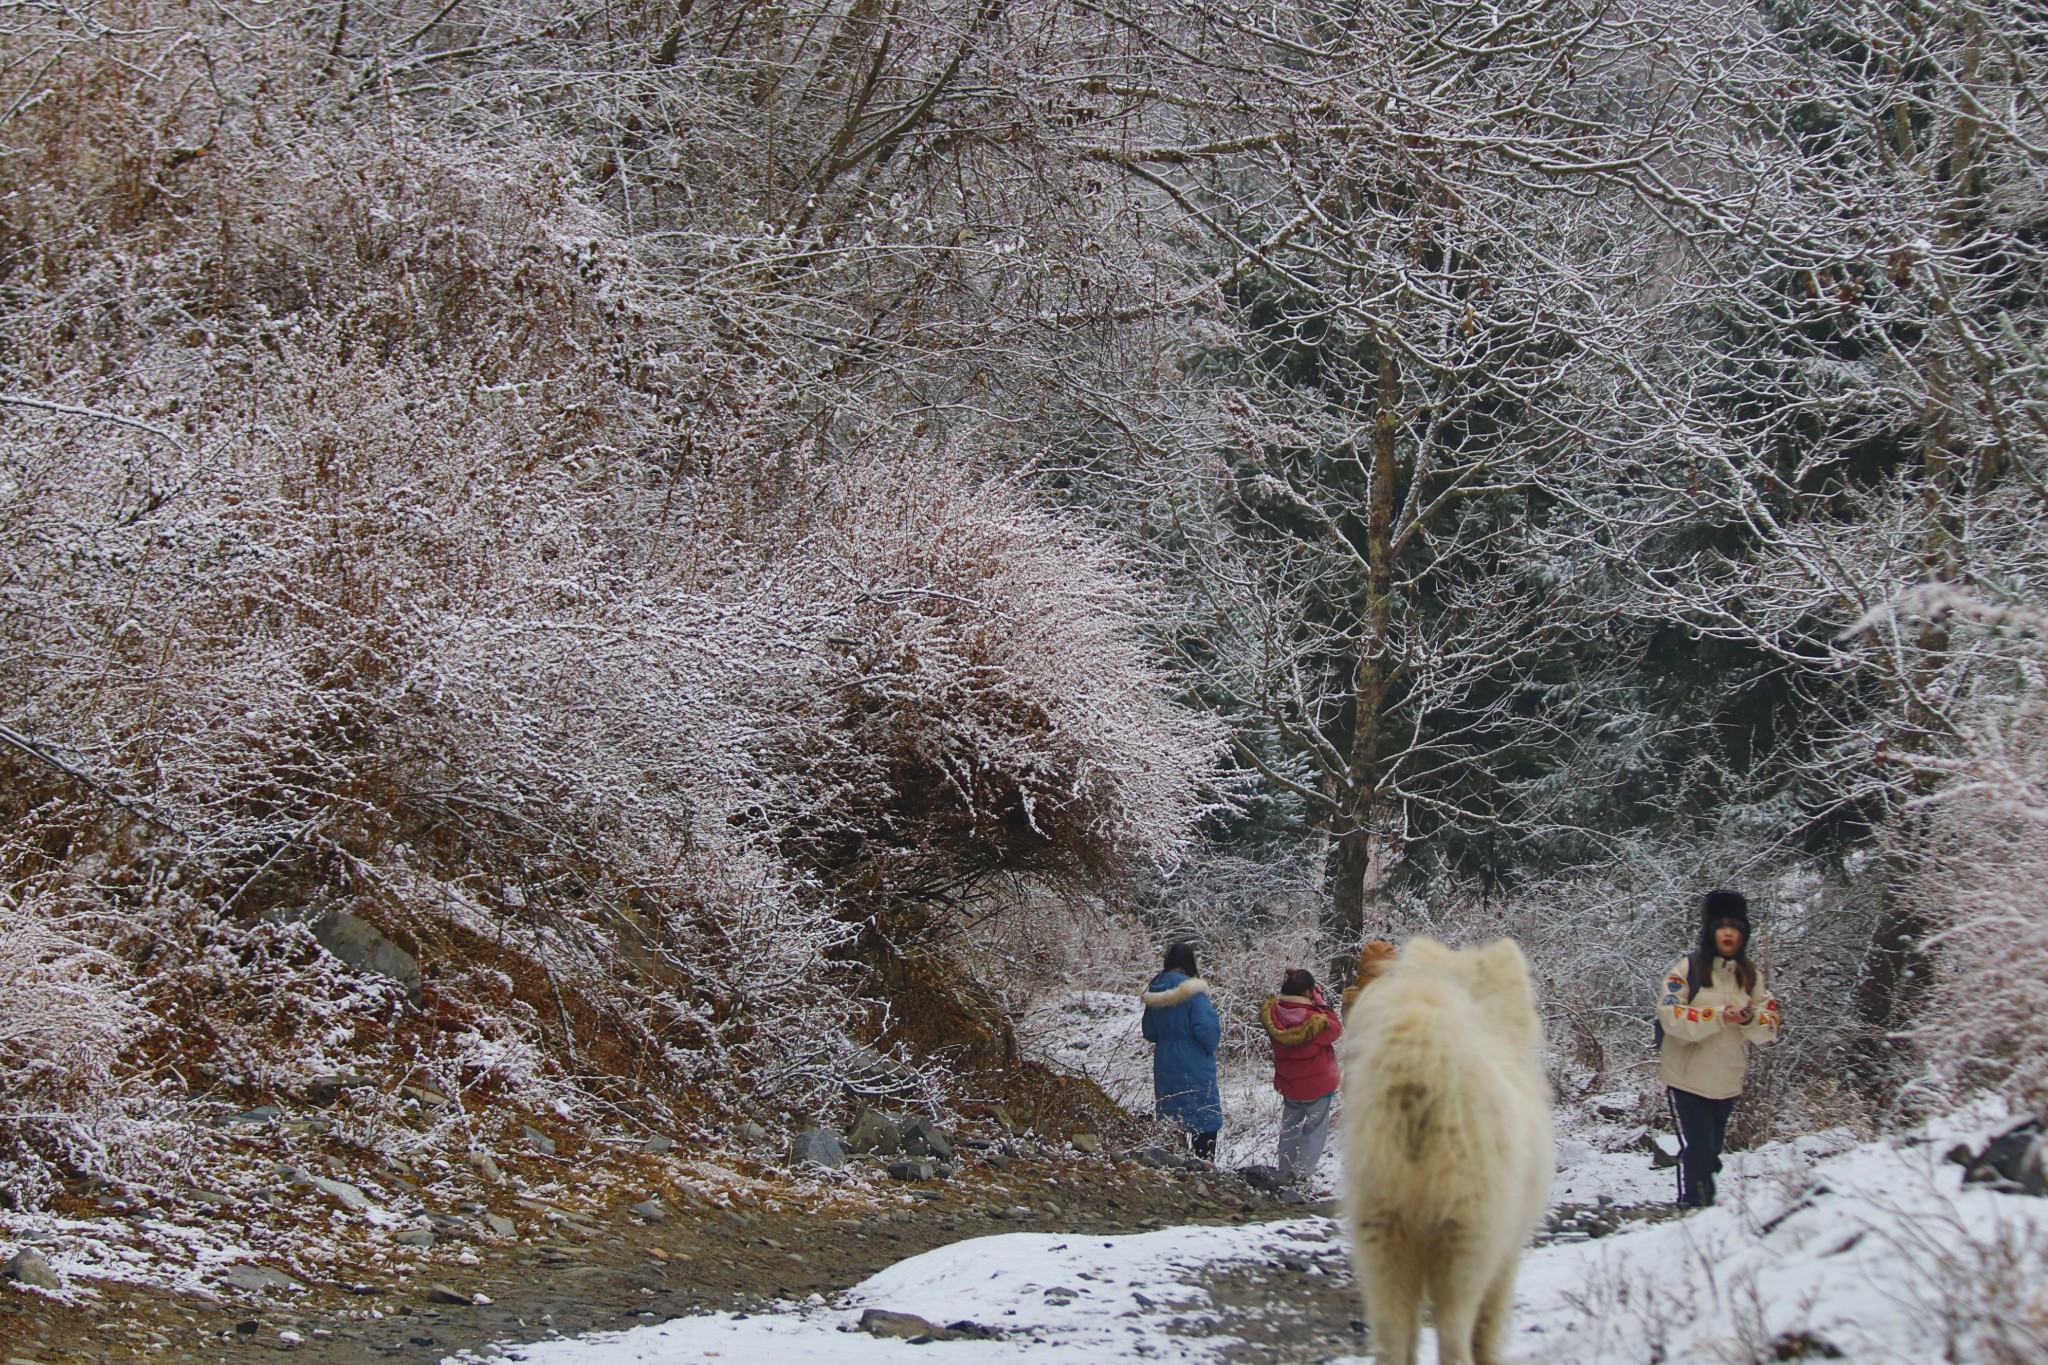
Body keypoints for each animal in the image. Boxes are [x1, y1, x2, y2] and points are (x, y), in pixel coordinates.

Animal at [1343, 941, 1548, 1365]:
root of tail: (1422, 1072)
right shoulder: (1507, 1250)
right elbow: (1487, 1327)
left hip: (1381, 1232)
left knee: (1391, 1334)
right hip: (1466, 1238)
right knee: (1454, 1334)